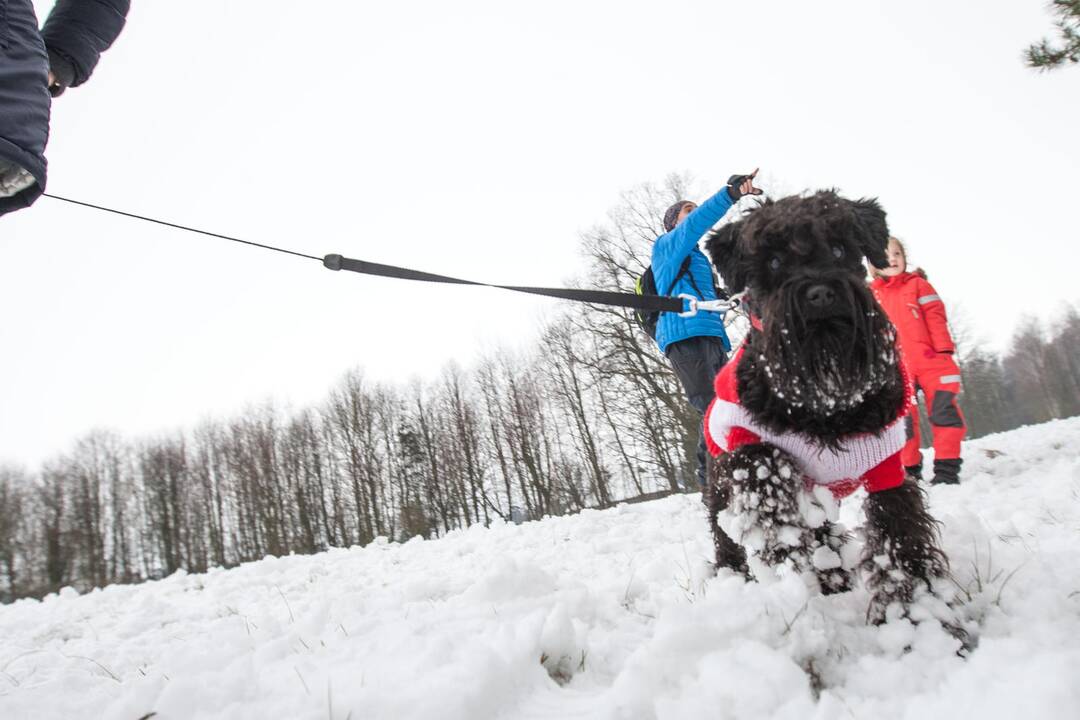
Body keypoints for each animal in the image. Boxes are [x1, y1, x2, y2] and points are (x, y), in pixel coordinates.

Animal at [699, 191, 946, 626]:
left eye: (840, 248)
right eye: (773, 261)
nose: (820, 294)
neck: (825, 404)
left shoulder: (887, 468)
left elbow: (900, 533)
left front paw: (917, 613)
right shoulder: (749, 449)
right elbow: (774, 504)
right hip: (719, 491)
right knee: (727, 539)